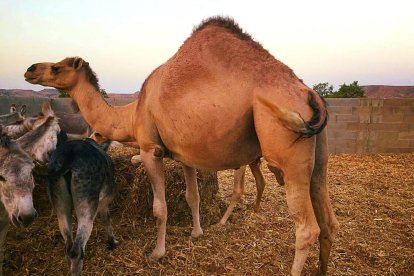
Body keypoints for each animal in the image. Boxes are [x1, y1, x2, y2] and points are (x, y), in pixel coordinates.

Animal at [23, 16, 340, 274]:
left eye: (56, 67)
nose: (30, 69)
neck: (133, 112)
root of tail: (308, 92)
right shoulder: (185, 156)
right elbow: (192, 196)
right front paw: (197, 233)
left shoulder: (151, 150)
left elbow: (160, 207)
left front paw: (157, 252)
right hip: (318, 155)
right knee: (328, 220)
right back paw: (322, 269)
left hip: (286, 152)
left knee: (306, 228)